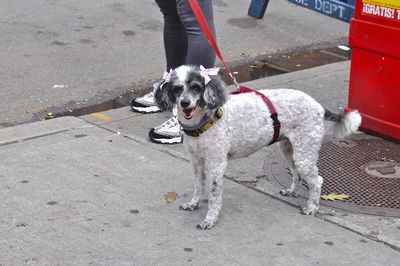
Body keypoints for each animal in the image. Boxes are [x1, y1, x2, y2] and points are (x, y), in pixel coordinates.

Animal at [155, 65, 360, 230]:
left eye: (197, 87)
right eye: (177, 89)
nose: (184, 103)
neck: (205, 121)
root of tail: (318, 106)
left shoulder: (216, 164)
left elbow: (213, 195)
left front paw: (210, 219)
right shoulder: (197, 161)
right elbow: (198, 186)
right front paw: (194, 203)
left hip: (305, 153)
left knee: (317, 181)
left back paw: (312, 207)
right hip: (289, 149)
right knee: (296, 173)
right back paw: (292, 191)